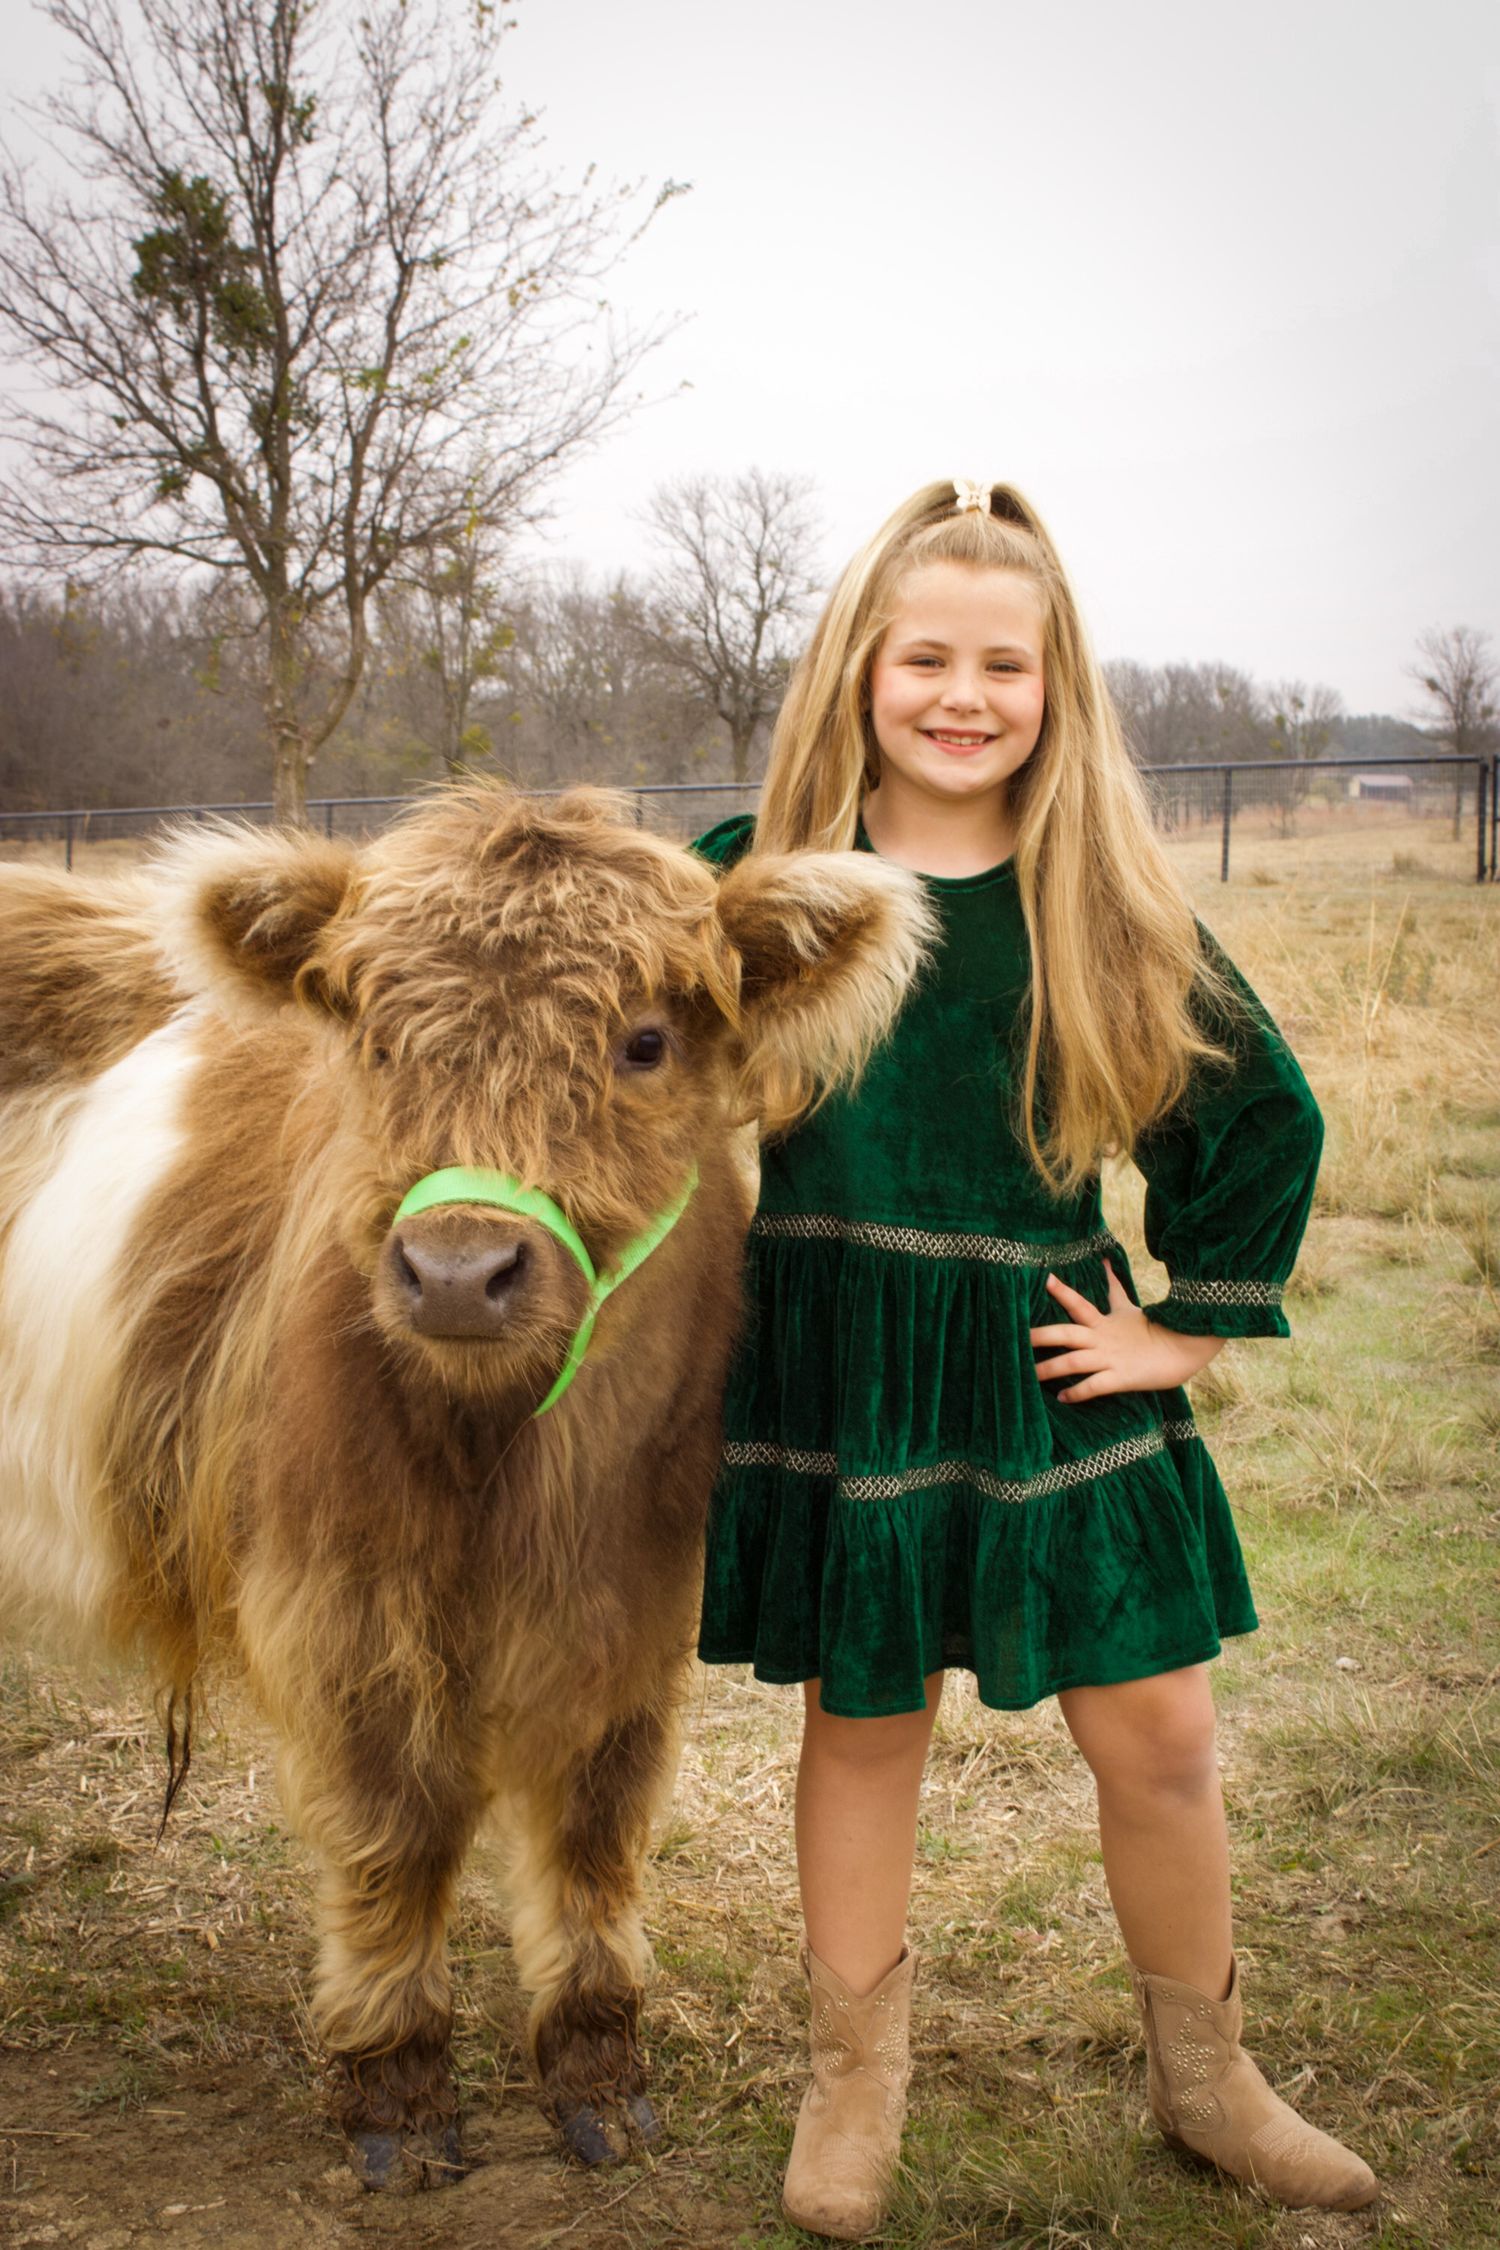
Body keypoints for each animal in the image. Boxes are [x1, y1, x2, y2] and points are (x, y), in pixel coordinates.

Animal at [0, 785, 930, 2187]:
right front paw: (398, 2093)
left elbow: (596, 1831)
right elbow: (399, 1833)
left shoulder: (640, 1609)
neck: (521, 1477)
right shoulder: (343, 1613)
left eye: (646, 1041)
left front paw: (599, 2075)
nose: (455, 1272)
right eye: (376, 1040)